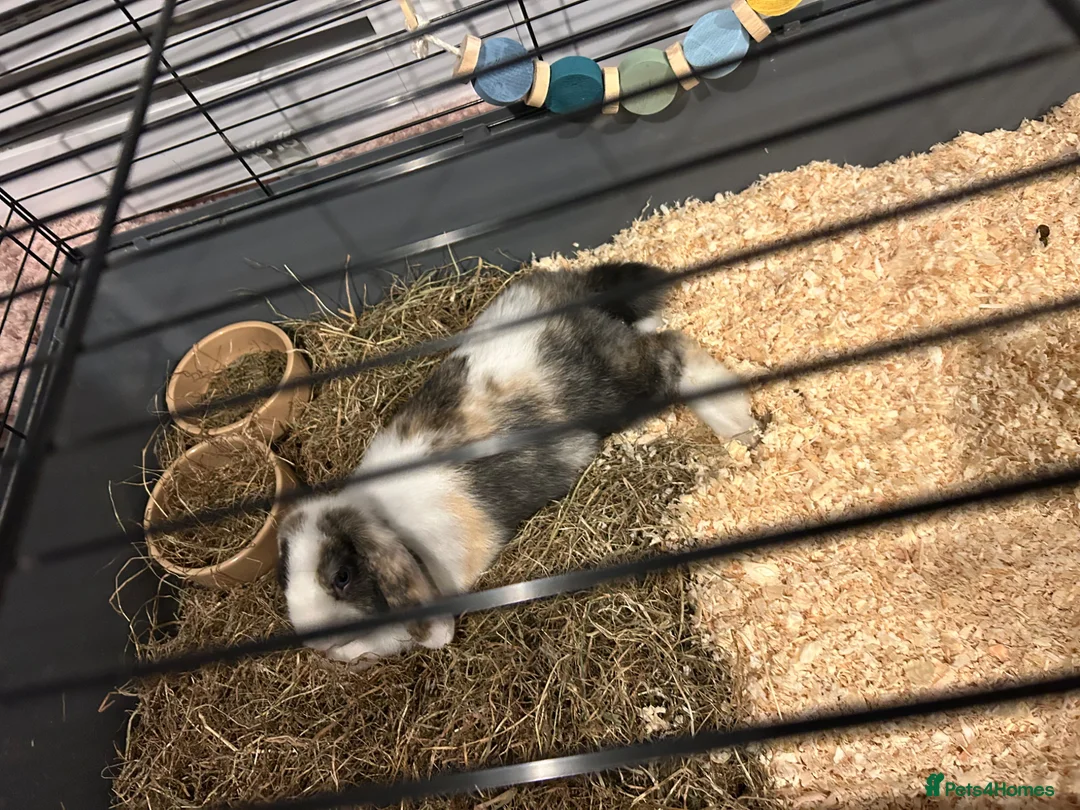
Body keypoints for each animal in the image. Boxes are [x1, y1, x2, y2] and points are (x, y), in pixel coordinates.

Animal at [276, 262, 760, 667]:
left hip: (620, 387)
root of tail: (570, 294)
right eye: (284, 574)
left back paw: (739, 425)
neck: (384, 519)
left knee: (673, 352)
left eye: (341, 576)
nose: (318, 643)